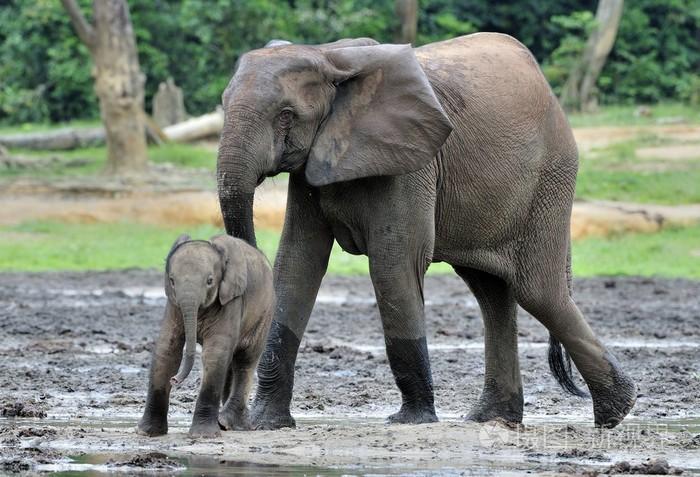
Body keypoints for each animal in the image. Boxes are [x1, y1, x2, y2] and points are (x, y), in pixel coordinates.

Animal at [137, 232, 274, 436]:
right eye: (172, 281)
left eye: (210, 281)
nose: (175, 380)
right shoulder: (173, 304)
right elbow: (167, 349)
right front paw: (147, 432)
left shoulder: (231, 300)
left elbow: (214, 353)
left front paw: (203, 435)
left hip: (265, 313)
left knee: (245, 360)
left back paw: (227, 423)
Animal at [216, 32, 636, 428]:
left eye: (286, 116)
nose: (225, 415)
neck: (329, 56)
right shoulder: (312, 167)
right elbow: (296, 266)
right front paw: (264, 424)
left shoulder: (410, 163)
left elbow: (393, 268)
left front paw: (410, 420)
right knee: (493, 294)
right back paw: (493, 417)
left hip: (550, 179)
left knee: (537, 291)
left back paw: (617, 411)